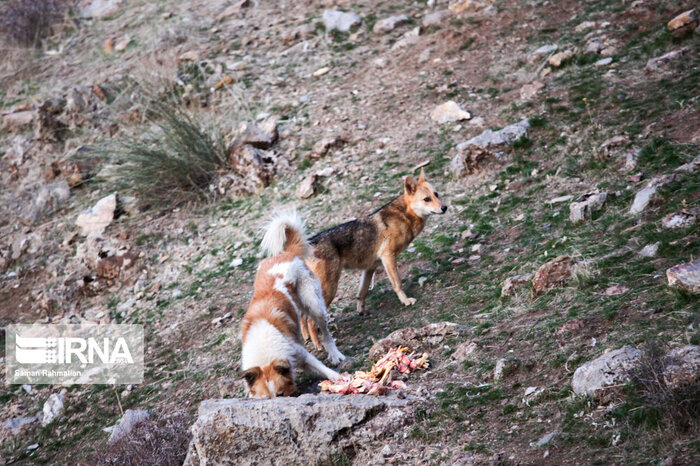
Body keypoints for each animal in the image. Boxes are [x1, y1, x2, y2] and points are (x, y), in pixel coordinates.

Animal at [239, 211, 346, 396]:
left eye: (280, 394)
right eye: (266, 398)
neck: (265, 350)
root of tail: (287, 253)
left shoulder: (297, 353)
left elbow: (322, 367)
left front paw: (337, 377)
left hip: (314, 303)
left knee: (325, 332)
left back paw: (334, 354)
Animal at [302, 168, 448, 346]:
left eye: (436, 194)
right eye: (427, 199)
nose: (444, 207)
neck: (404, 215)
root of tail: (308, 243)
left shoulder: (370, 267)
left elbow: (362, 293)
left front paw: (362, 312)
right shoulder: (388, 257)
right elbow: (397, 284)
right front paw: (406, 301)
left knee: (302, 316)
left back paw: (306, 337)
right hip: (329, 289)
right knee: (310, 319)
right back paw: (318, 345)